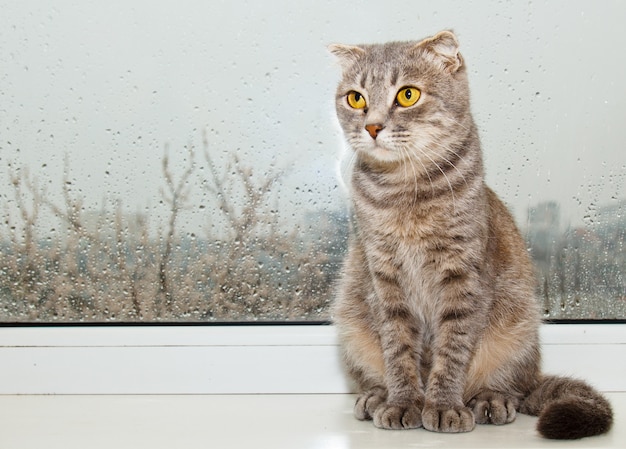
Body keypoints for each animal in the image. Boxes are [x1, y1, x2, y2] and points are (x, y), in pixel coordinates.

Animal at [330, 30, 612, 438]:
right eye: (356, 98)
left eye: (407, 95)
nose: (372, 127)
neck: (405, 192)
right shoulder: (382, 277)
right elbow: (397, 348)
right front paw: (403, 402)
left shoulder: (463, 277)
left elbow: (453, 348)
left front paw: (443, 406)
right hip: (351, 319)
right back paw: (375, 396)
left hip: (517, 327)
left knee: (512, 385)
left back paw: (490, 400)